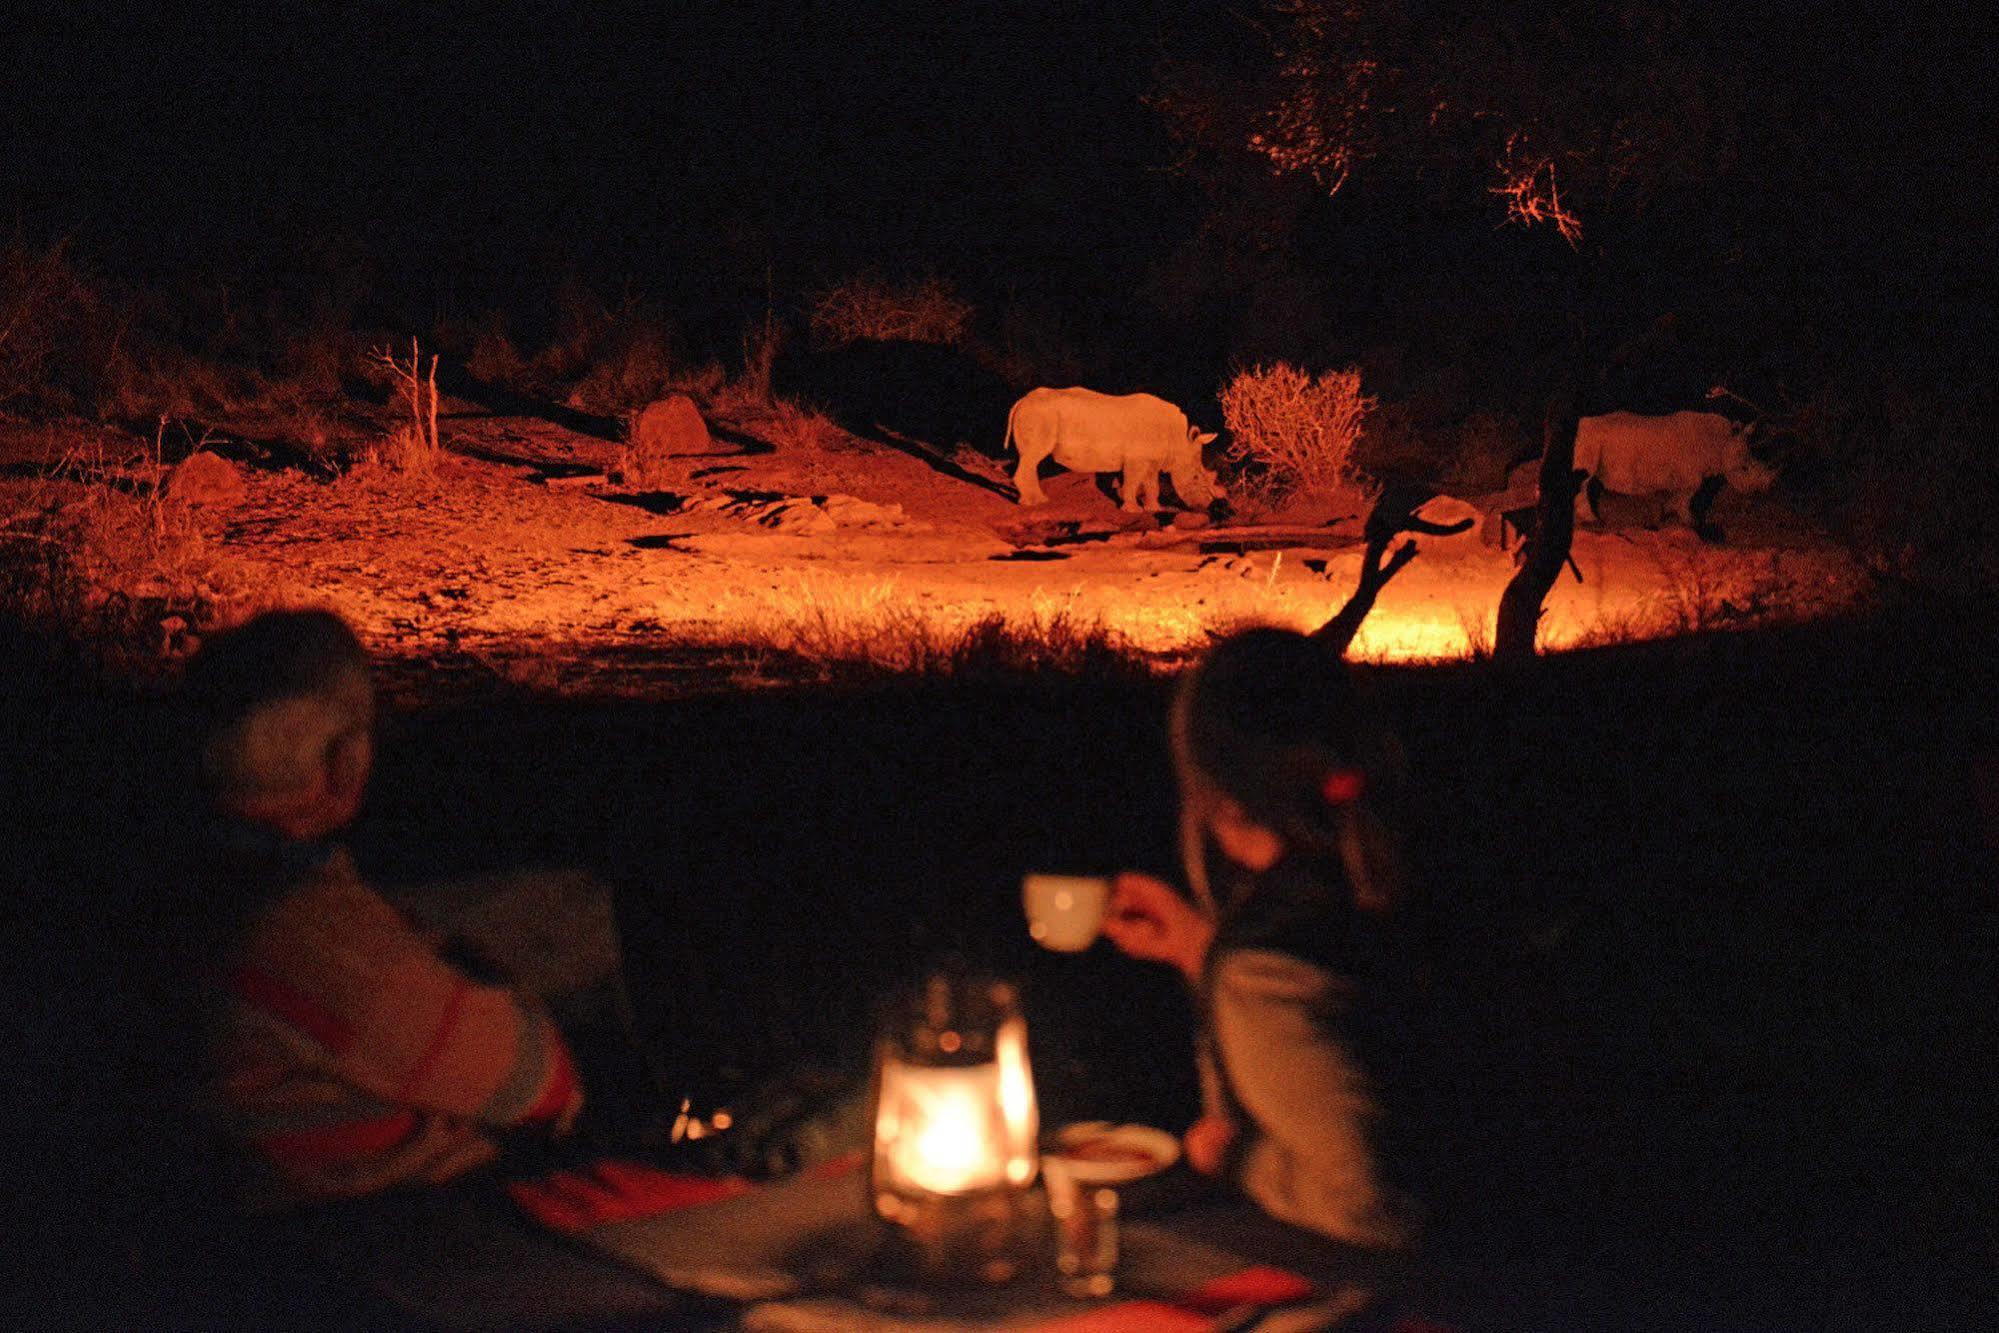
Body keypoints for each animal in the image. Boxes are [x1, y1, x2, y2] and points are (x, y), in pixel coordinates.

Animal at [999, 387, 1215, 515]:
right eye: (1196, 477)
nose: (1204, 506)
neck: (1178, 441)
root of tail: (1021, 401)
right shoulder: (1136, 458)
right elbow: (1132, 481)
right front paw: (1132, 510)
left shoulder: (1151, 459)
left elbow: (1152, 484)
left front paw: (1154, 509)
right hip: (1040, 415)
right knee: (1033, 456)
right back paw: (1032, 503)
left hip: (1037, 414)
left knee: (1030, 459)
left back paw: (1037, 500)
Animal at [1567, 411, 1775, 527]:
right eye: (1745, 468)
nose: (1761, 492)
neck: (1721, 444)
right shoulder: (1691, 476)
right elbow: (1687, 497)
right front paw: (1690, 522)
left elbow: (1682, 497)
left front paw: (1663, 514)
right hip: (1589, 441)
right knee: (1584, 480)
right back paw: (1593, 522)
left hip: (1588, 440)